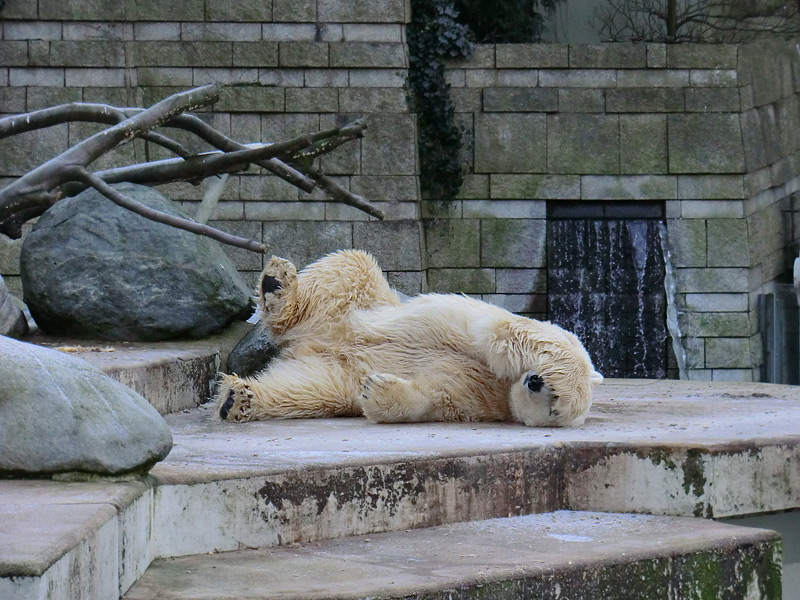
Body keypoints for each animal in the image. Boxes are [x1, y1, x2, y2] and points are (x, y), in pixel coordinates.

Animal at [216, 248, 604, 426]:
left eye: (551, 410)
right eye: (554, 398)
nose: (535, 381)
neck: (501, 387)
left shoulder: (474, 399)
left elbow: (432, 397)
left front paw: (377, 390)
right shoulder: (485, 328)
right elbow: (509, 332)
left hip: (328, 369)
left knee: (305, 389)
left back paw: (238, 398)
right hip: (357, 302)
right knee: (350, 267)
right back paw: (278, 286)